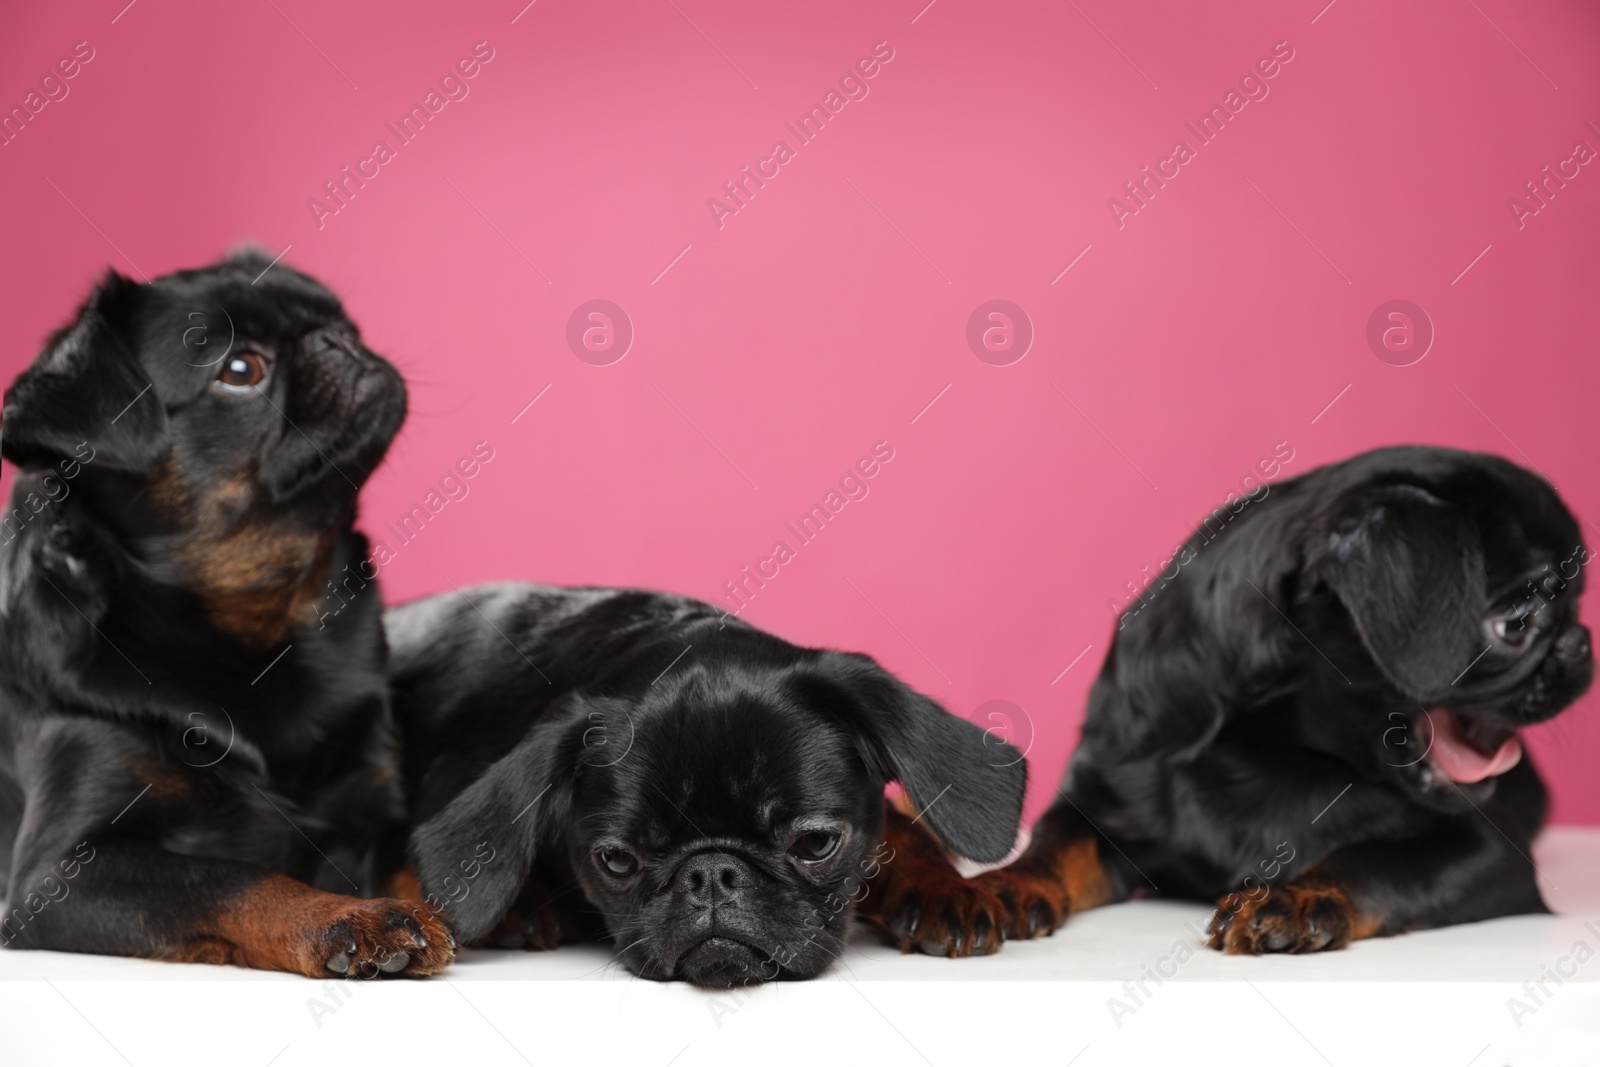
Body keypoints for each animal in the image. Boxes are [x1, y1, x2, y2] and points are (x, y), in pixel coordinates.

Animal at [0, 252, 454, 979]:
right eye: (240, 370)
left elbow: (419, 860)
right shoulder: (58, 872)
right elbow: (234, 878)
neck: (255, 628)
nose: (339, 340)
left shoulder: (375, 809)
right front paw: (347, 916)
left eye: (344, 322)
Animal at [966, 447, 1593, 953]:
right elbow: (1052, 848)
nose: (1582, 644)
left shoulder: (1490, 850)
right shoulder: (1096, 808)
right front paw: (1004, 883)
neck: (1262, 743)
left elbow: (1377, 861)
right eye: (1516, 624)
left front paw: (1298, 897)